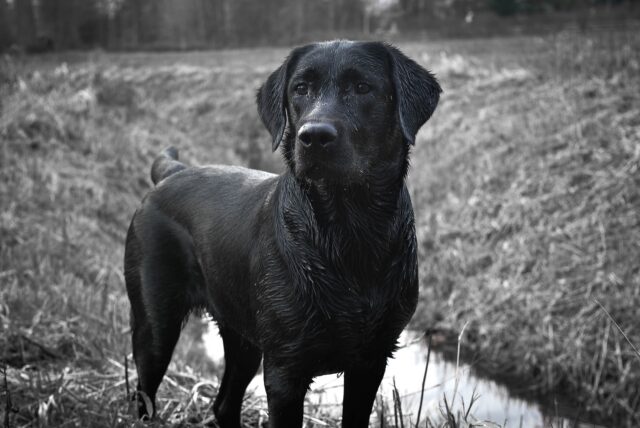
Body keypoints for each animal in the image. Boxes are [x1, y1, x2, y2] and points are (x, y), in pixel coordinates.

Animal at [124, 38, 440, 426]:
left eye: (363, 87)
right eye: (300, 88)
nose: (314, 136)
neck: (347, 233)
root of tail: (172, 172)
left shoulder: (371, 361)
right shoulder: (285, 370)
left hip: (242, 338)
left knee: (223, 404)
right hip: (155, 327)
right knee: (144, 396)